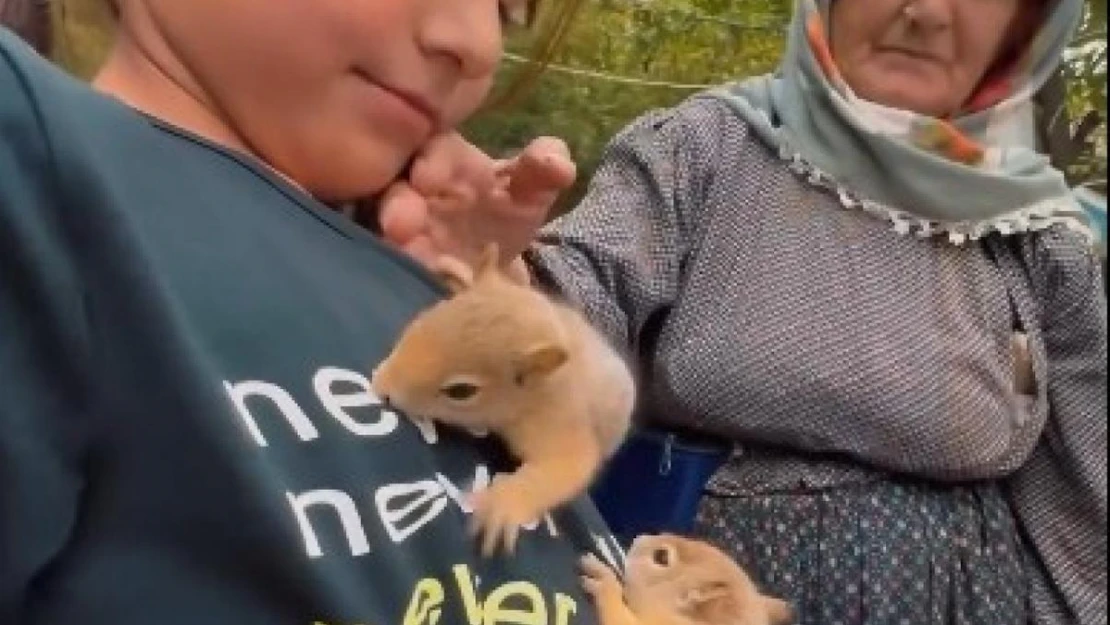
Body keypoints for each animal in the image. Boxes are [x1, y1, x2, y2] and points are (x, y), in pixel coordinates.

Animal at [370, 243, 634, 557]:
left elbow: (565, 465)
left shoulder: (559, 420)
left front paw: (503, 505)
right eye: (421, 321)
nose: (382, 385)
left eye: (461, 391)